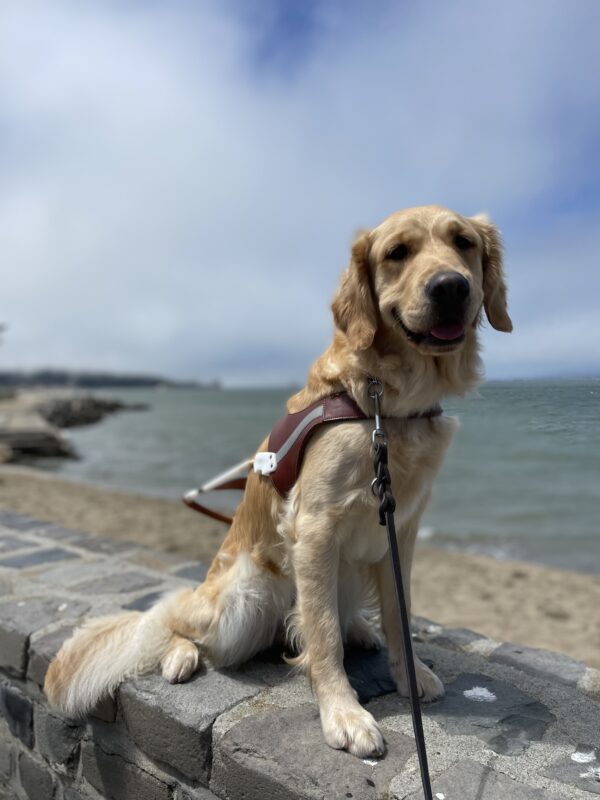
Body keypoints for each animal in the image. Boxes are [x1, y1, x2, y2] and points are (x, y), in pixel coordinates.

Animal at [44, 205, 510, 756]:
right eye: (398, 252)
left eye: (463, 243)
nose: (451, 287)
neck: (383, 405)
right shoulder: (315, 527)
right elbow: (323, 635)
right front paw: (343, 713)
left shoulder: (401, 528)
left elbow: (400, 615)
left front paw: (410, 674)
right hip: (241, 603)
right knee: (176, 620)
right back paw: (181, 654)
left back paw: (360, 628)